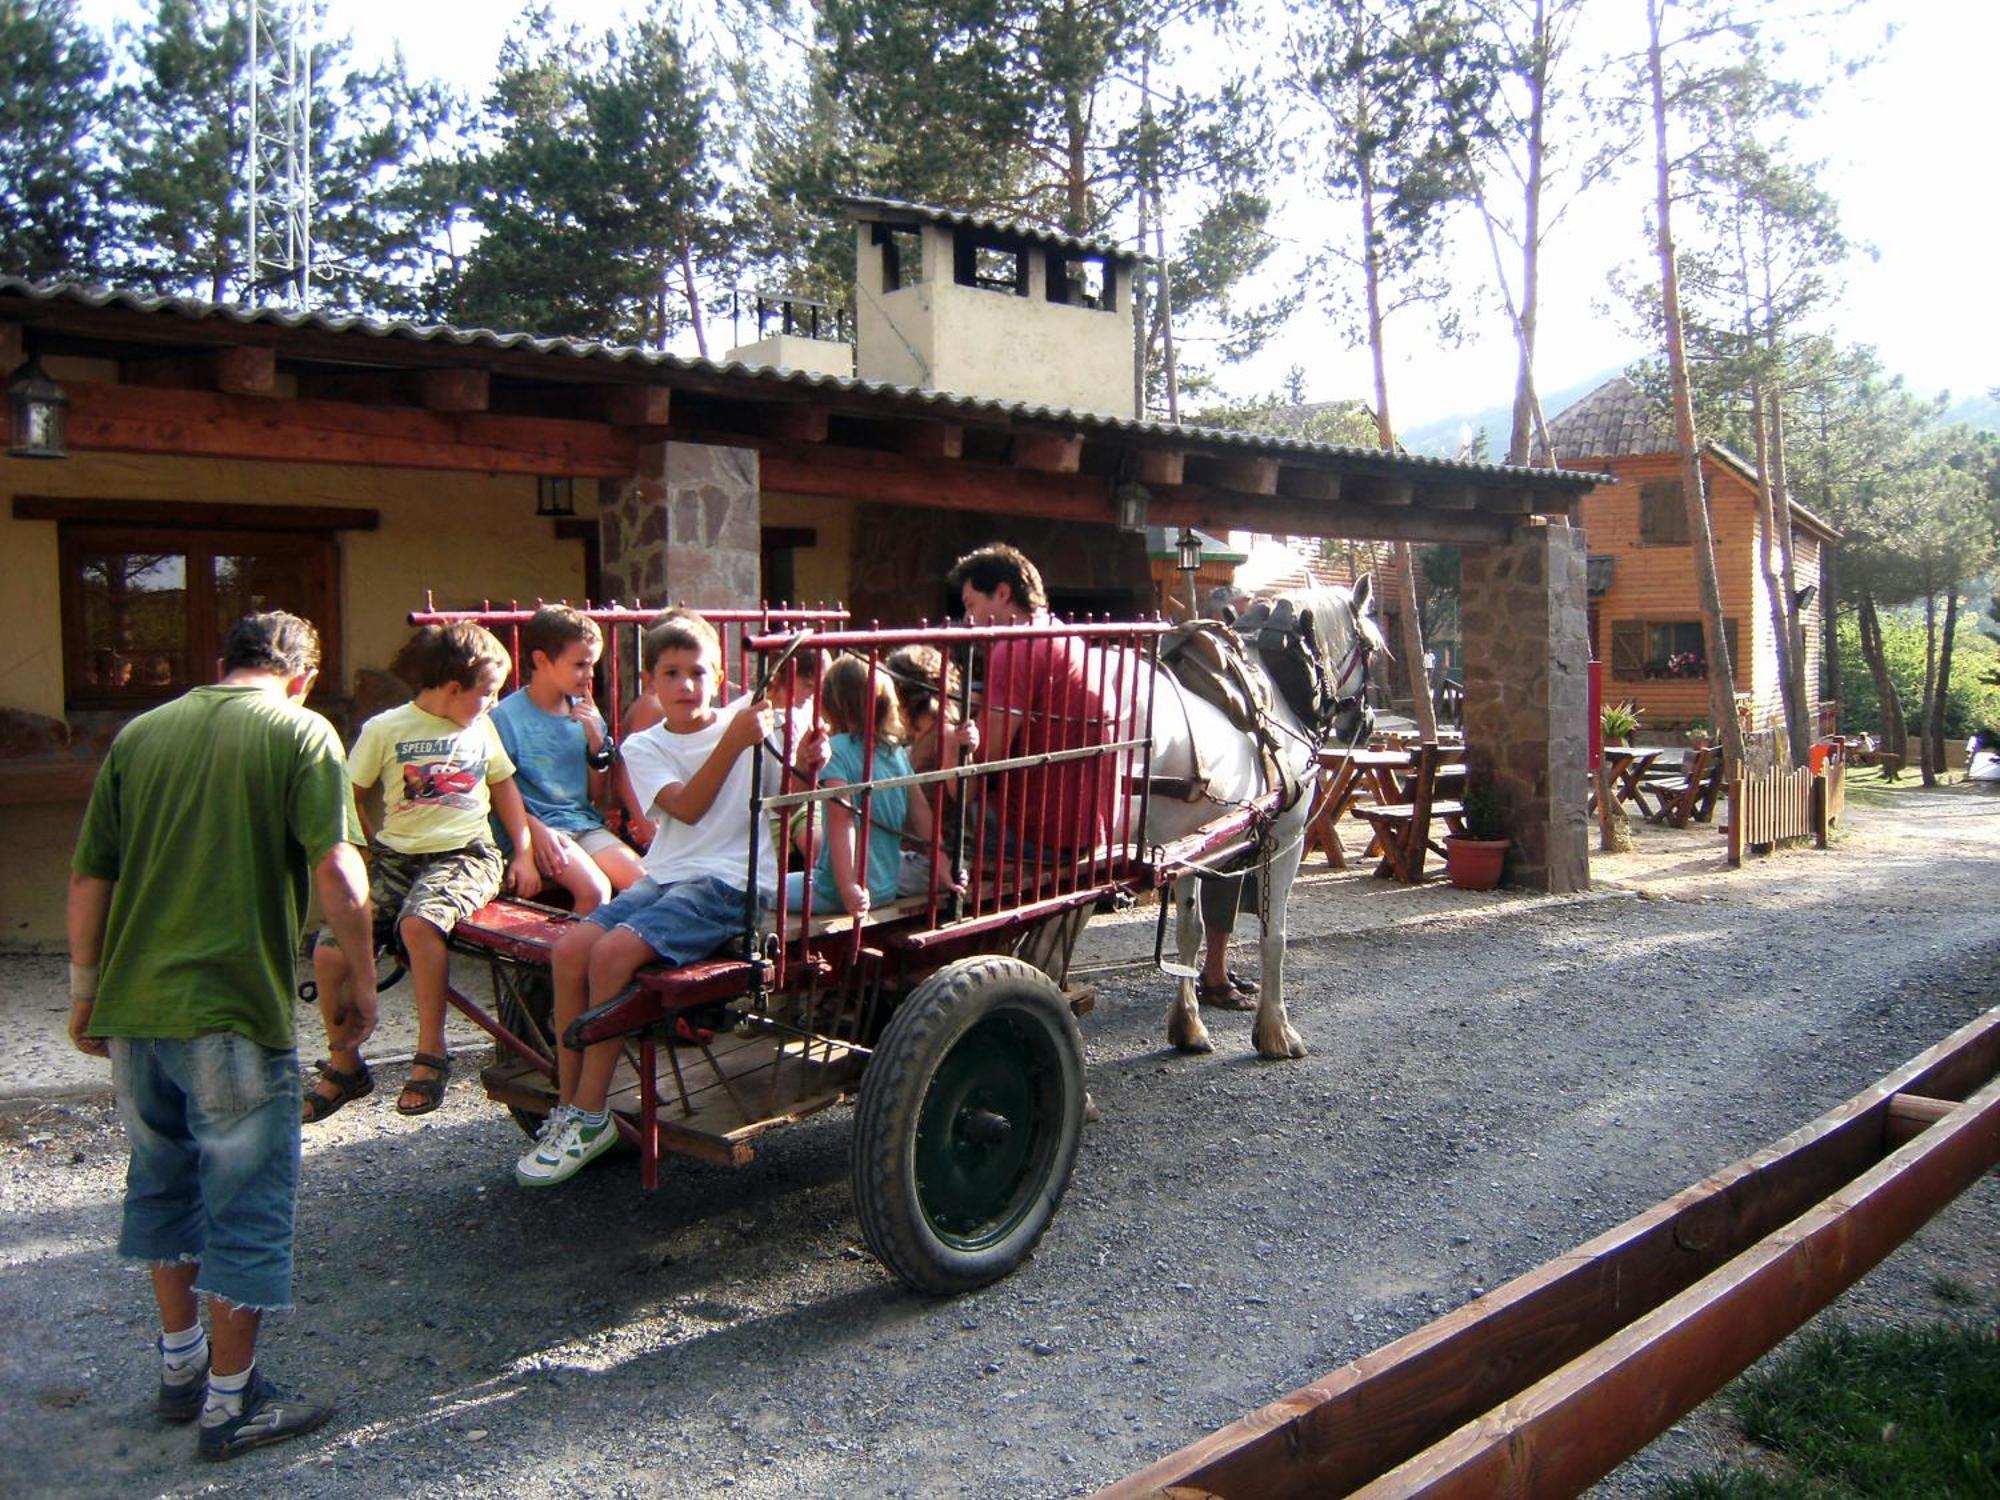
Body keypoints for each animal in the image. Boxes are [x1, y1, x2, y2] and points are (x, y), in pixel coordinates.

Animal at [1136, 580, 1384, 1064]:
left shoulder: (1188, 846)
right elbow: (1274, 935)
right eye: (1372, 649)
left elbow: (1190, 931)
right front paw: (1276, 1031)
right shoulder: (1285, 839)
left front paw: (1189, 1025)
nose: (1364, 724)